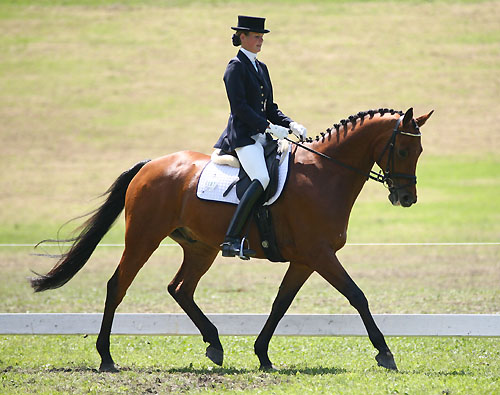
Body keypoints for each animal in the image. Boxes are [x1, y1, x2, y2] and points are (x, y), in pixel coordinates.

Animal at [29, 106, 432, 372]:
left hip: (200, 247)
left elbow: (280, 304)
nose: (406, 198)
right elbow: (357, 295)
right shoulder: (320, 255)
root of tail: (151, 164)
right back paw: (106, 358)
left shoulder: (305, 259)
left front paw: (263, 355)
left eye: (420, 151)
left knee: (180, 289)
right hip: (143, 238)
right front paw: (385, 353)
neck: (325, 173)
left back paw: (214, 344)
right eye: (402, 149)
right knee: (118, 285)